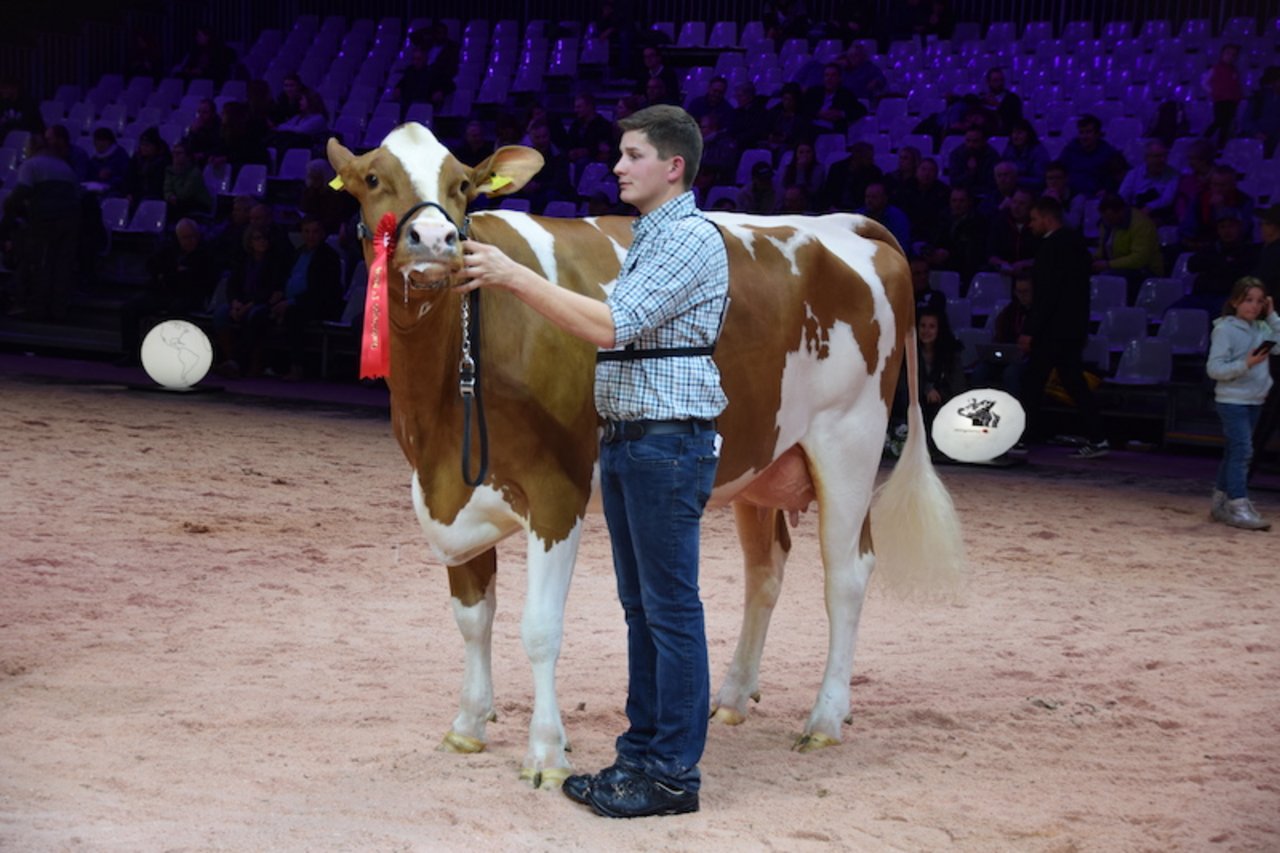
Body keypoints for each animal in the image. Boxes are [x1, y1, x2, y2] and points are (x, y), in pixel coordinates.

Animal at [325, 124, 962, 783]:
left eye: (462, 187)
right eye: (372, 178)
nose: (434, 239)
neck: (442, 405)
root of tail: (845, 223)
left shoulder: (557, 493)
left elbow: (540, 629)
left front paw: (546, 752)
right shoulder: (452, 489)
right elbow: (472, 617)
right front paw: (468, 726)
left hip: (848, 441)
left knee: (846, 575)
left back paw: (824, 719)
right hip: (762, 458)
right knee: (766, 571)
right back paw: (731, 697)